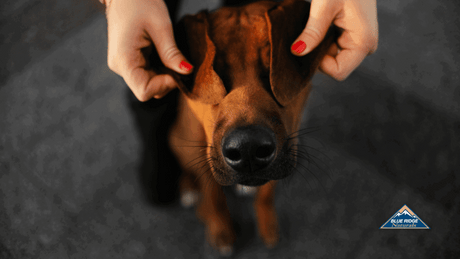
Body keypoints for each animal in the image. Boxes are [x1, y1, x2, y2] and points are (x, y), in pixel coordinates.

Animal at [160, 0, 336, 256]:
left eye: (271, 70)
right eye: (217, 75)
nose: (247, 149)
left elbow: (266, 195)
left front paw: (267, 221)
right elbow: (214, 197)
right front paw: (221, 228)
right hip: (179, 138)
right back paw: (189, 189)